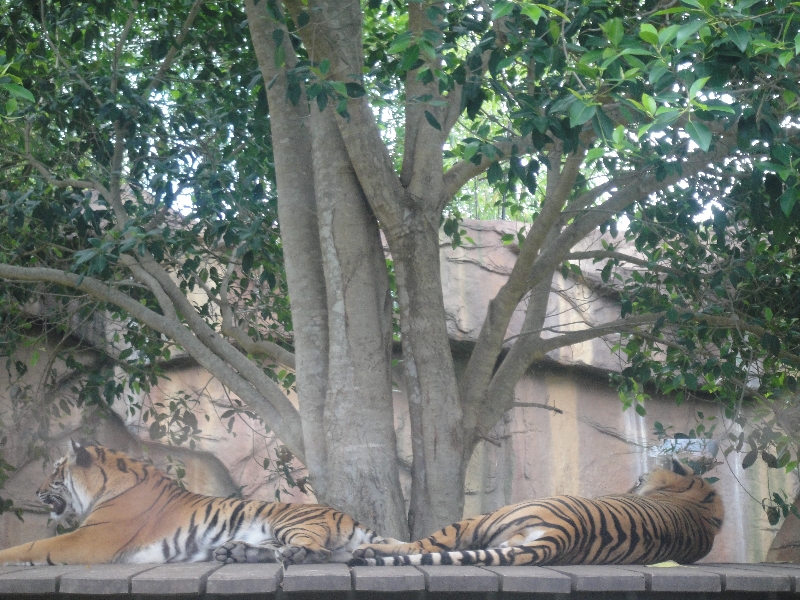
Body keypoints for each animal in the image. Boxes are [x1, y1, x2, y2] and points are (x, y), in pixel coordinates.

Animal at [0, 440, 400, 568]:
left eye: (55, 470)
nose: (35, 491)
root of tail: (345, 515)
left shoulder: (90, 539)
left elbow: (32, 545)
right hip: (268, 532)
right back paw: (235, 552)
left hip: (291, 523)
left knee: (316, 551)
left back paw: (289, 555)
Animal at [346, 460, 720, 568]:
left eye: (641, 479)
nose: (631, 487)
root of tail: (565, 535)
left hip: (488, 516)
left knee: (425, 545)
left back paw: (366, 549)